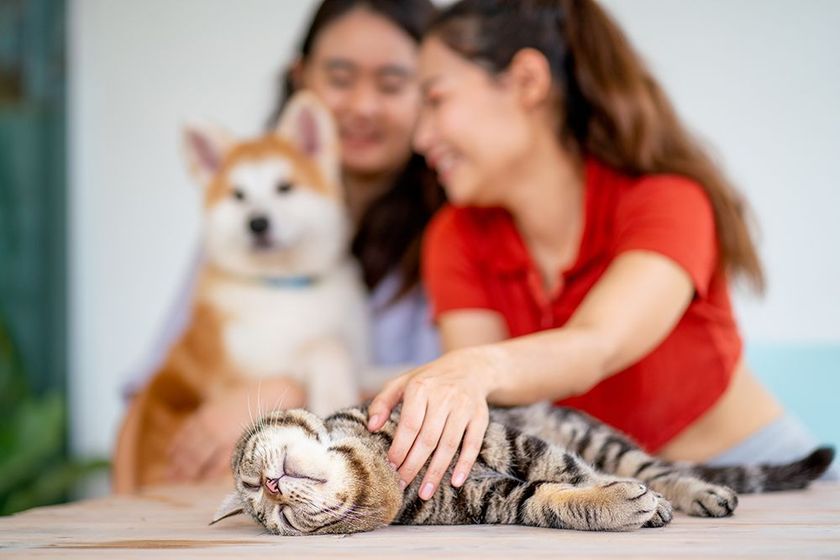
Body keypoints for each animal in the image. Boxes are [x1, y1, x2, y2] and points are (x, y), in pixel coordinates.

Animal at [115, 91, 368, 490]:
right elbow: (322, 345)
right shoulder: (254, 365)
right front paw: (334, 389)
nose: (257, 223)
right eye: (238, 195)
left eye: (284, 187)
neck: (283, 286)